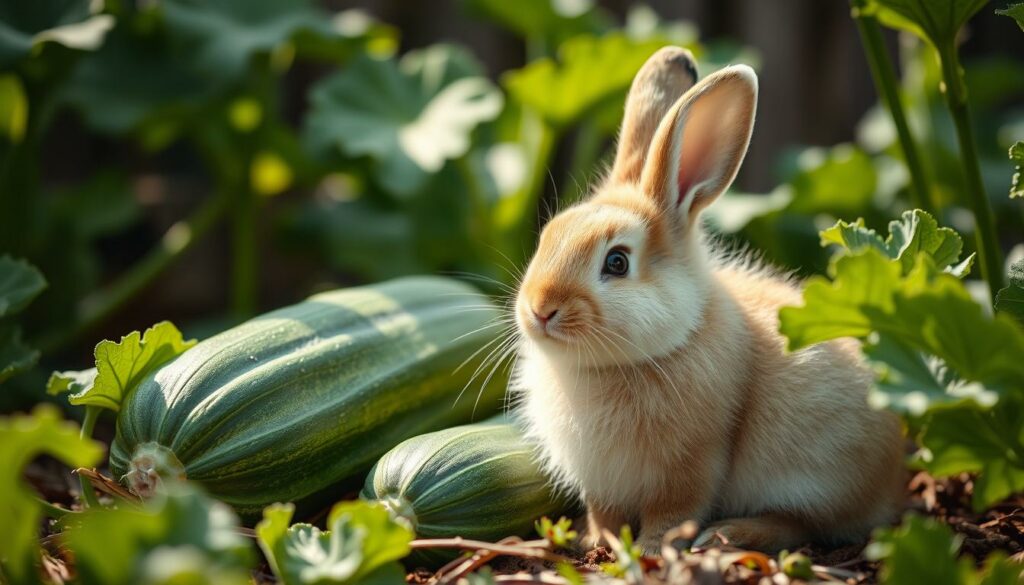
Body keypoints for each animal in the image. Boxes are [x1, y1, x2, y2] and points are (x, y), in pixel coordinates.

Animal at [512, 46, 905, 553]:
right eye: (547, 237)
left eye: (616, 262)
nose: (540, 309)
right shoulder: (602, 484)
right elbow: (605, 512)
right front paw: (597, 539)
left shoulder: (691, 464)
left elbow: (674, 511)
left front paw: (650, 550)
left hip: (812, 471)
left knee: (802, 524)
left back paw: (726, 535)